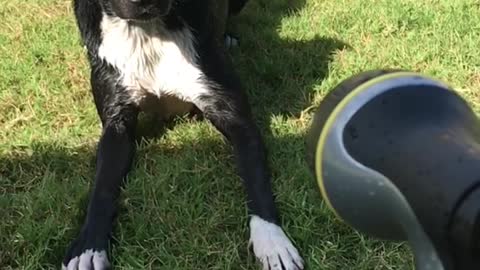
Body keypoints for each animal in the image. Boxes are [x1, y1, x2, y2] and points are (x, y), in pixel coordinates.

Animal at [62, 0, 304, 270]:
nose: (144, 2)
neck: (148, 31)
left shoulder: (239, 122)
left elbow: (257, 180)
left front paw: (272, 241)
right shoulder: (116, 126)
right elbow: (101, 187)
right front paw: (88, 248)